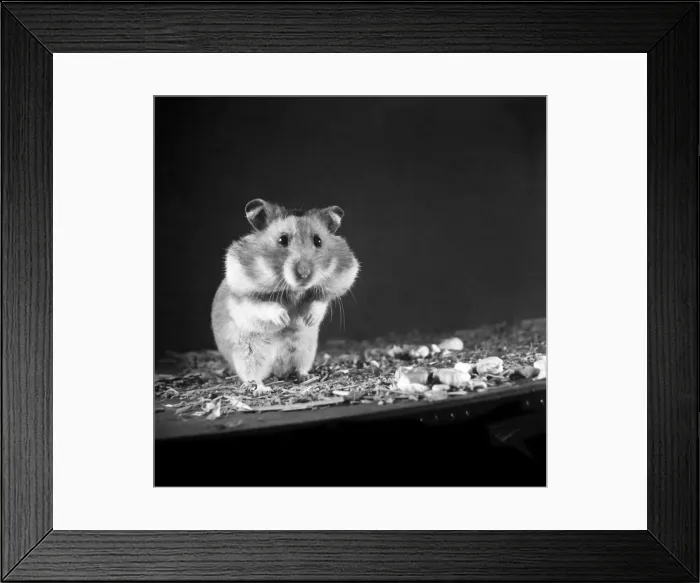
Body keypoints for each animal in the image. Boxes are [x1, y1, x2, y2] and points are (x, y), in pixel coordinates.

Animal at [211, 198, 360, 385]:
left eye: (318, 241)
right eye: (282, 239)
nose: (304, 274)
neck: (294, 289)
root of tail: (276, 368)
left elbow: (320, 302)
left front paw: (308, 319)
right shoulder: (242, 294)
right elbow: (262, 306)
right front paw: (284, 319)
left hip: (305, 349)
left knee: (299, 367)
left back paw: (306, 376)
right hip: (247, 354)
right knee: (252, 376)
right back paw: (262, 387)